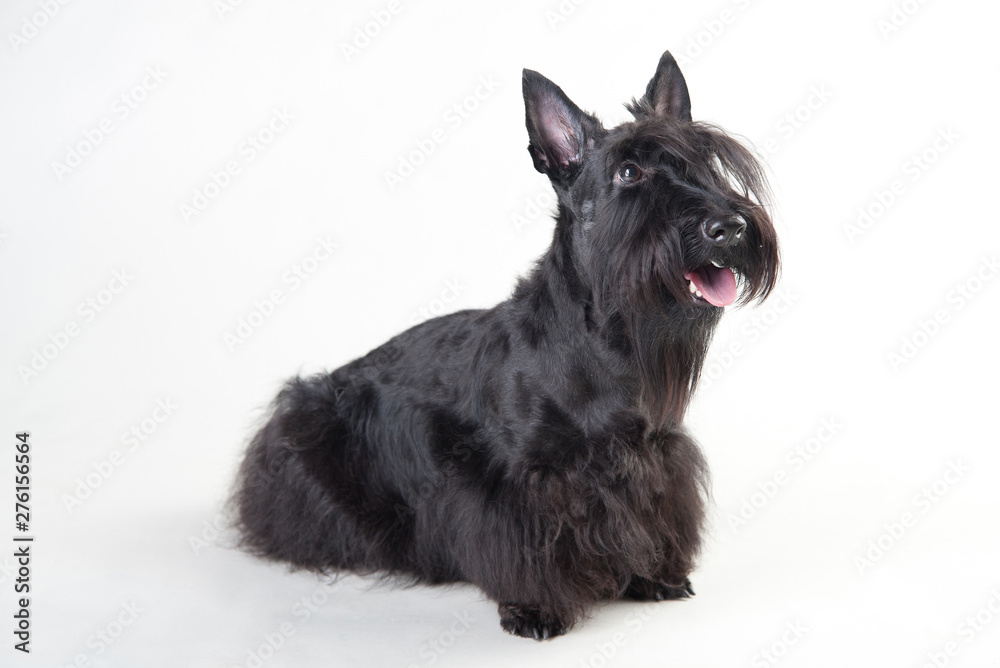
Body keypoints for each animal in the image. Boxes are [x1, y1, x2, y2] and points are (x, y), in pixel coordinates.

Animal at [234, 49, 780, 640]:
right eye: (628, 172)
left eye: (703, 163)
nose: (728, 226)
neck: (605, 344)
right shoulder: (521, 480)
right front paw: (535, 607)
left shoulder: (656, 457)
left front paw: (654, 575)